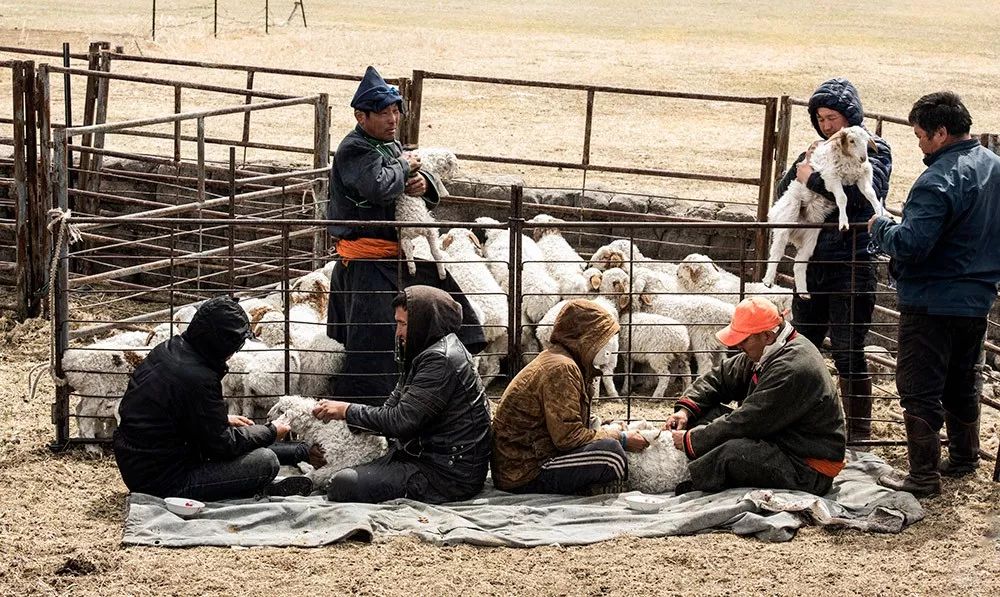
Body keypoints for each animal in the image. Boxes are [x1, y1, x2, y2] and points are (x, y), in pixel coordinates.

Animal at [764, 125, 884, 296]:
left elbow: (871, 193)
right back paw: (768, 280)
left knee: (799, 263)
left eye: (866, 141)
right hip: (785, 220)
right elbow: (842, 198)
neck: (849, 160)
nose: (863, 158)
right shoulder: (831, 178)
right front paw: (843, 223)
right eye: (851, 140)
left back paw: (803, 292)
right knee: (776, 252)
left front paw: (880, 214)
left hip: (811, 236)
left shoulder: (862, 177)